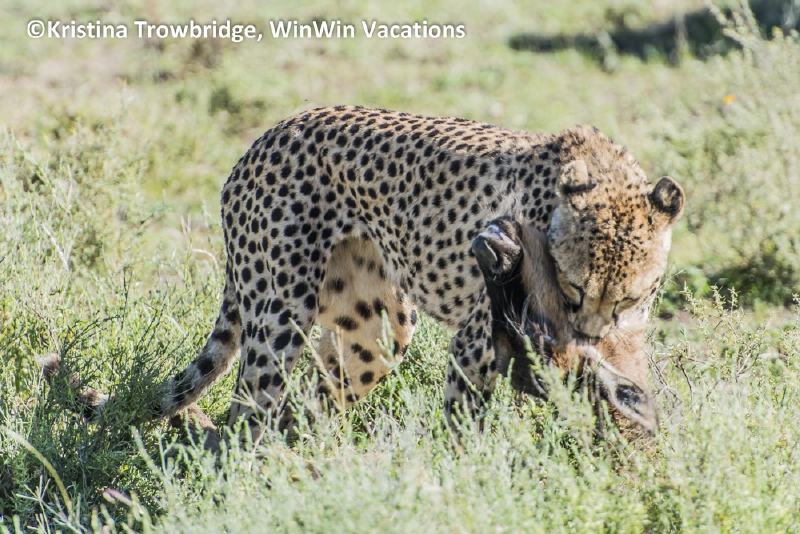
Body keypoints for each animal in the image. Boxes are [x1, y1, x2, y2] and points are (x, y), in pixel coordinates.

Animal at [47, 105, 684, 442]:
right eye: (574, 290)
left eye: (628, 299)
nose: (588, 341)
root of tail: (267, 135)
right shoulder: (480, 336)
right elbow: (466, 425)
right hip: (279, 314)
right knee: (248, 415)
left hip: (373, 332)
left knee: (309, 405)